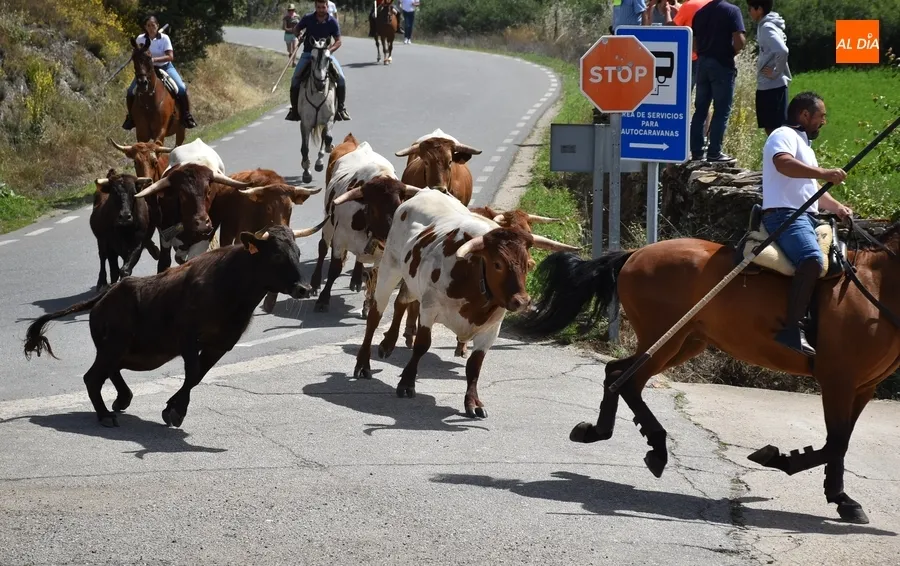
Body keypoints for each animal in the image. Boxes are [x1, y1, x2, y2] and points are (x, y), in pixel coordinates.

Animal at [297, 38, 337, 185]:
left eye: (328, 58)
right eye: (312, 57)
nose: (320, 83)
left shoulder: (329, 119)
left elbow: (328, 137)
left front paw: (326, 153)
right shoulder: (305, 124)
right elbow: (304, 148)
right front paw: (306, 172)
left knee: (325, 137)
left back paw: (321, 159)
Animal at [517, 217, 900, 525]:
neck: (877, 285)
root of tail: (637, 253)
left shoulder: (861, 387)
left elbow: (841, 442)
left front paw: (841, 499)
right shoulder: (838, 380)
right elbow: (836, 442)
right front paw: (778, 460)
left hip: (683, 342)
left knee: (618, 374)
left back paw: (604, 432)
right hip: (665, 339)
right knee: (624, 379)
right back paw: (652, 446)